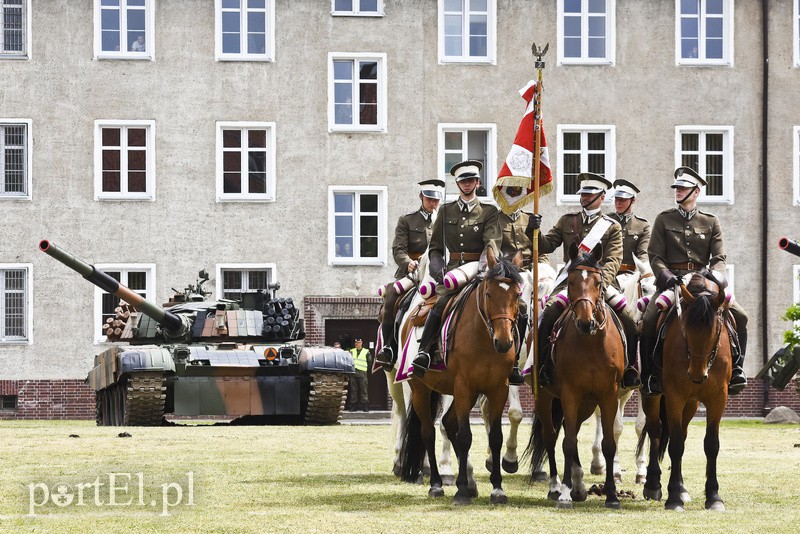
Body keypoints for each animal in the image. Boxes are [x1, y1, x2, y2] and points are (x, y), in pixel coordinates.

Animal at [398, 249, 520, 504]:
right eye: (489, 293)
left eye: (517, 294)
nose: (504, 342)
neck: (484, 338)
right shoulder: (464, 387)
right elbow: (464, 436)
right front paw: (461, 490)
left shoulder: (498, 389)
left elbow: (495, 437)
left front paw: (497, 488)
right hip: (421, 389)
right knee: (429, 432)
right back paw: (437, 483)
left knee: (447, 422)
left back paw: (470, 483)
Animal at [528, 244, 628, 510]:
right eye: (571, 281)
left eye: (598, 281)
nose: (585, 322)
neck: (590, 342)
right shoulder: (570, 393)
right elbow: (569, 443)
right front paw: (564, 494)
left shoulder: (609, 394)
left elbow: (608, 443)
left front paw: (612, 495)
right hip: (546, 398)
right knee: (552, 436)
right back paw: (556, 486)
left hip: (586, 403)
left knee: (567, 430)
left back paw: (579, 485)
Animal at [636, 274, 732, 512]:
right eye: (685, 329)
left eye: (715, 331)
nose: (697, 375)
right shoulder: (674, 396)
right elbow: (676, 444)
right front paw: (673, 499)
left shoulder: (718, 399)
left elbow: (711, 445)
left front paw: (713, 496)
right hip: (653, 397)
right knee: (656, 432)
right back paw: (653, 484)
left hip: (691, 403)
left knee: (682, 433)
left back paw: (681, 488)